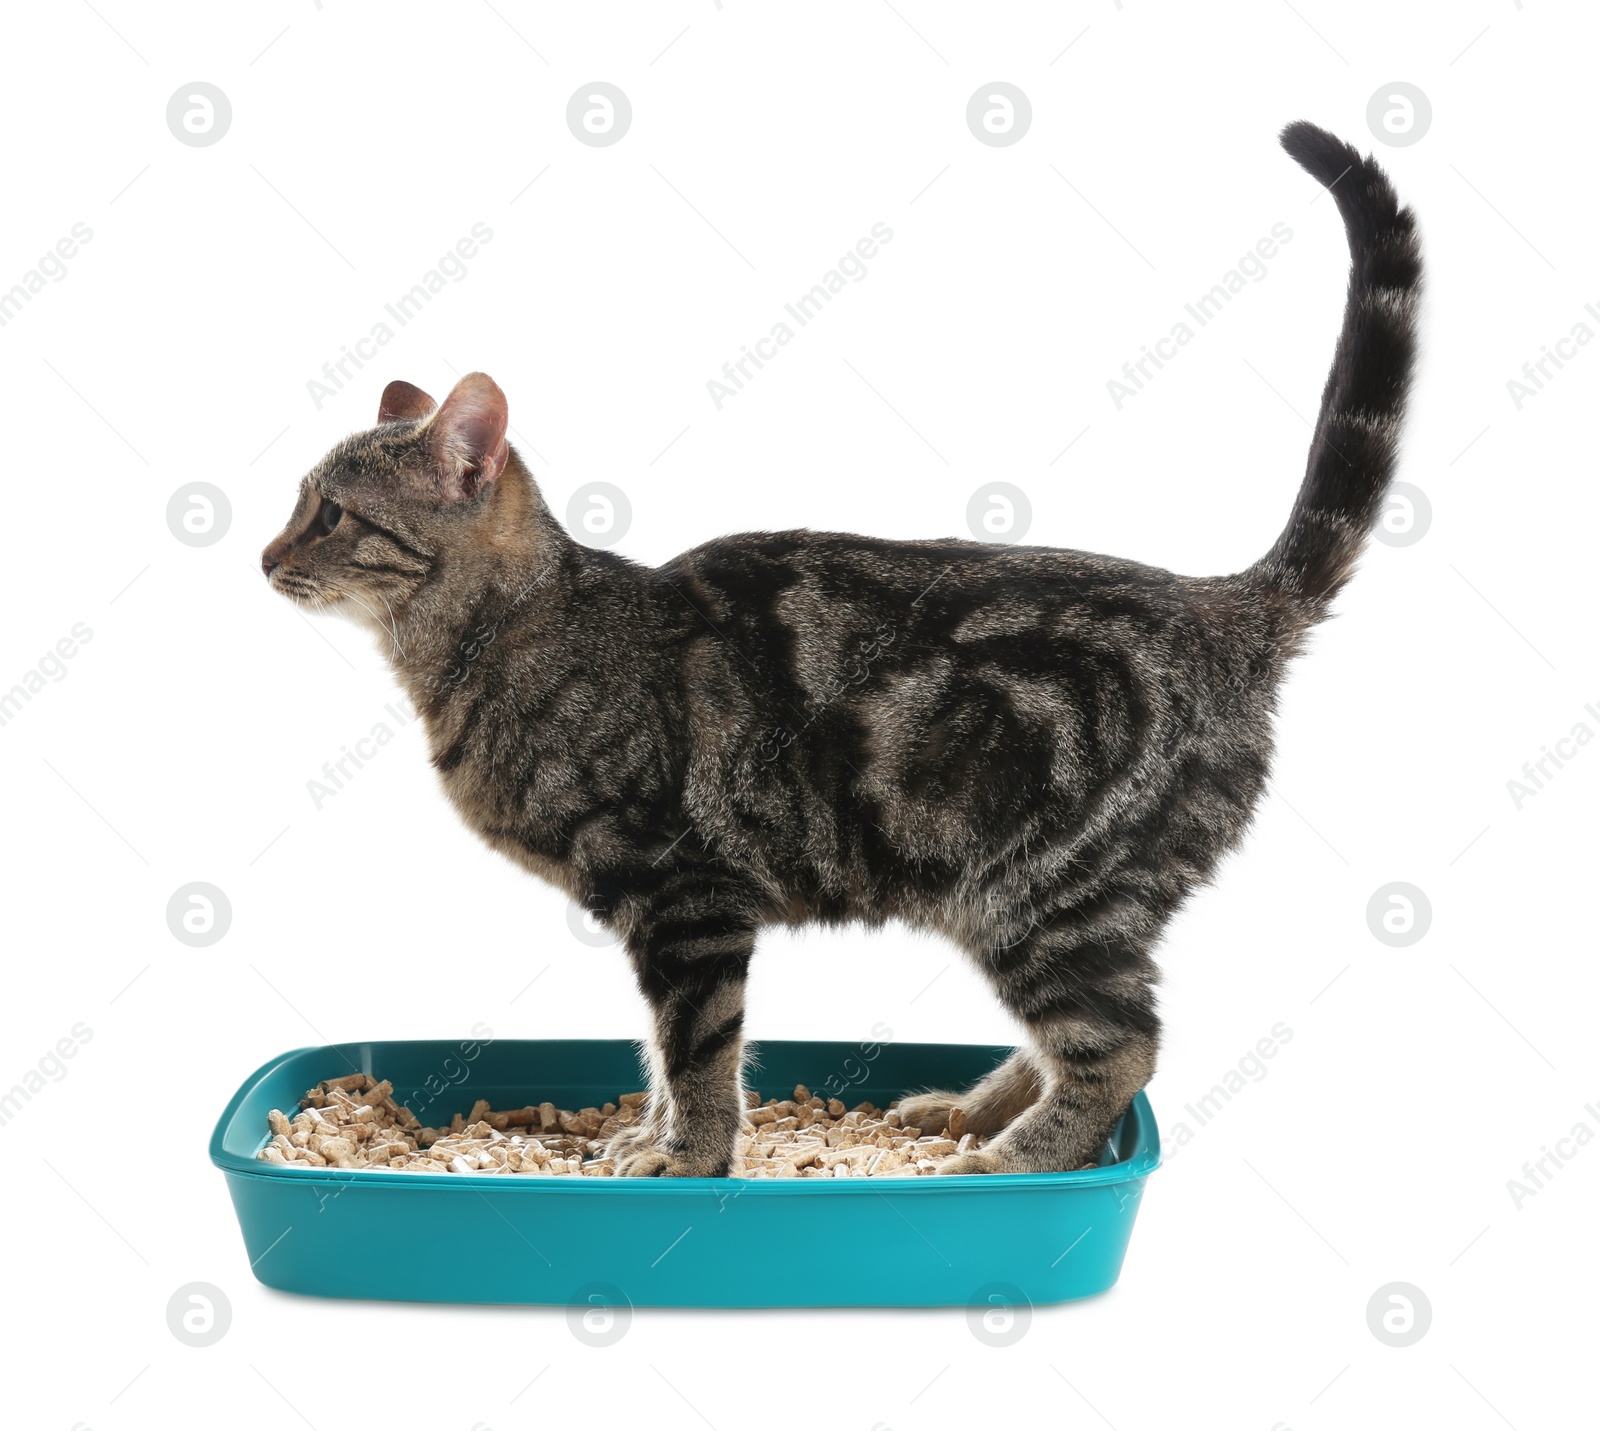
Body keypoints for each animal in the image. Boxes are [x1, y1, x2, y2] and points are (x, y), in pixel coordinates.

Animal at [265, 123, 1427, 1178]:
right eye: (299, 505)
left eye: (329, 513)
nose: (264, 553)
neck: (494, 637)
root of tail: (1220, 605)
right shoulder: (663, 914)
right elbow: (659, 1052)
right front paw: (651, 1136)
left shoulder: (684, 898)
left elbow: (696, 1047)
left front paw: (689, 1155)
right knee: (1082, 1035)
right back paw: (967, 1112)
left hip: (1044, 895)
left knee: (1121, 1047)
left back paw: (1006, 1159)